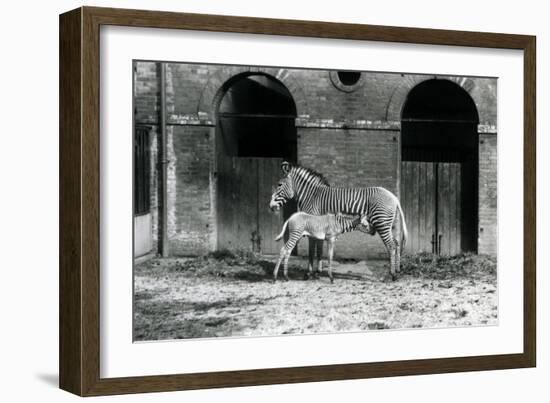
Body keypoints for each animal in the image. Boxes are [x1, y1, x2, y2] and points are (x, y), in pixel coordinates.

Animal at [270, 161, 408, 280]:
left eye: (279, 185)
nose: (271, 207)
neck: (312, 196)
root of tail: (394, 197)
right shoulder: (318, 227)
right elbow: (319, 249)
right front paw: (317, 271)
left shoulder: (313, 224)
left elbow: (312, 250)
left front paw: (309, 273)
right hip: (391, 224)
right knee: (397, 244)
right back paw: (397, 271)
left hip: (382, 222)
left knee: (391, 245)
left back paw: (392, 275)